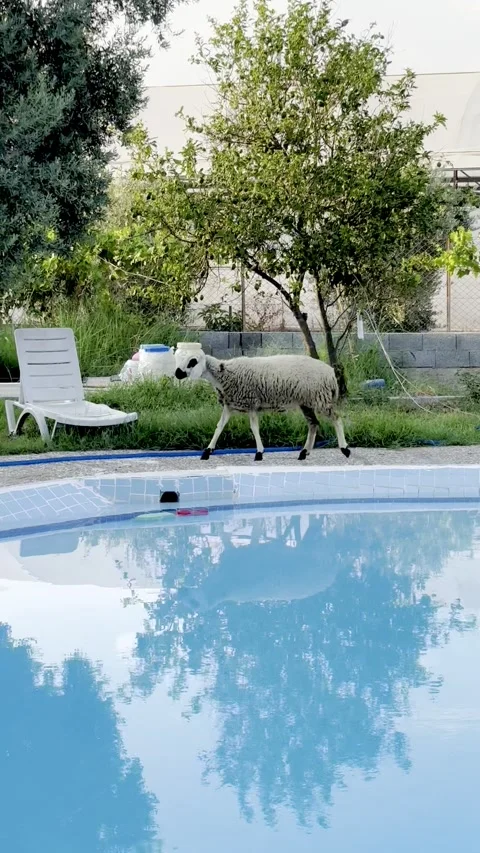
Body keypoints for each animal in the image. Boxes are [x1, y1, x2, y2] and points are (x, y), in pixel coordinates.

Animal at [174, 347, 351, 462]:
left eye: (192, 361)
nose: (177, 373)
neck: (223, 375)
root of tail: (331, 372)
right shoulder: (230, 405)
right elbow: (219, 427)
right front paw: (207, 451)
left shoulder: (252, 403)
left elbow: (254, 428)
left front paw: (259, 453)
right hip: (307, 403)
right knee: (313, 424)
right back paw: (304, 452)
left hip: (320, 399)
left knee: (336, 418)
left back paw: (344, 449)